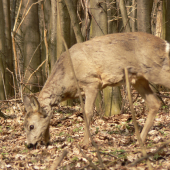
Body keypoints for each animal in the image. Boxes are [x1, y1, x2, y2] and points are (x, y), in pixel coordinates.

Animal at [22, 31, 170, 149]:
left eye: (31, 126)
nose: (29, 145)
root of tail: (165, 44)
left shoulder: (92, 82)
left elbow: (87, 112)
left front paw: (84, 143)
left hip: (156, 71)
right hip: (138, 79)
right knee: (155, 103)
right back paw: (139, 140)